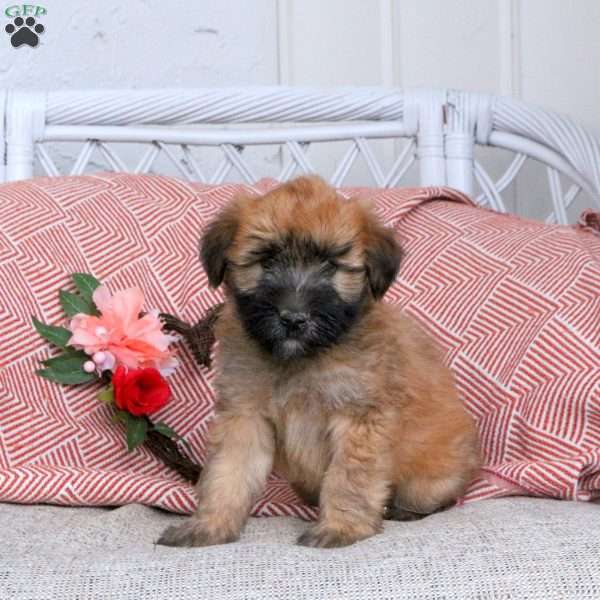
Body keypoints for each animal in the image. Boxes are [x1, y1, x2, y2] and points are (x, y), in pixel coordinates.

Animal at [157, 175, 480, 548]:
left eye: (330, 265)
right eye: (267, 261)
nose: (293, 319)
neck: (301, 359)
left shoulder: (358, 418)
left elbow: (348, 478)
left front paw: (341, 527)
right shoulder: (244, 414)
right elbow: (228, 472)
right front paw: (209, 525)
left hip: (428, 479)